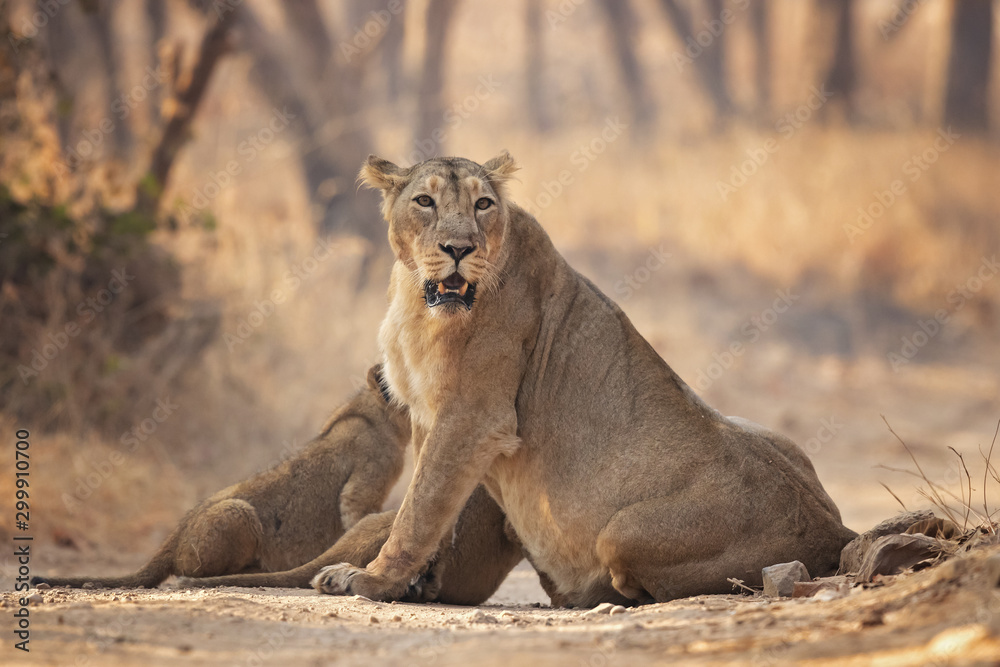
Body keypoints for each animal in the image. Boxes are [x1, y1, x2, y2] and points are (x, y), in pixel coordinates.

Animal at [32, 365, 410, 589]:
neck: (379, 416)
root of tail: (174, 536)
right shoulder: (363, 482)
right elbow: (355, 514)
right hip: (237, 513)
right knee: (193, 571)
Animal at [308, 152, 857, 608]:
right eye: (424, 200)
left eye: (483, 204)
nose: (459, 248)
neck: (415, 296)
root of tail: (836, 531)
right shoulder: (429, 414)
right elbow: (436, 509)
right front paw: (412, 582)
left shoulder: (474, 416)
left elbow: (418, 511)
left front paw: (372, 580)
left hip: (622, 530)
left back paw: (584, 590)